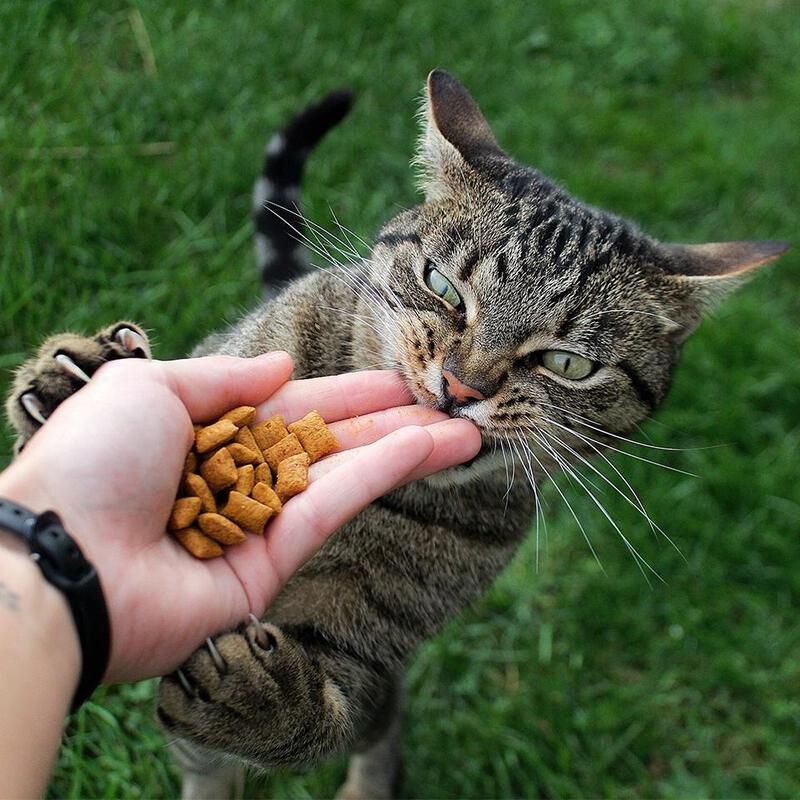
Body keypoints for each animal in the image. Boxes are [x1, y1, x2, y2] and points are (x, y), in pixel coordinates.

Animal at [6, 71, 788, 800]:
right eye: (442, 287)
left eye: (568, 363)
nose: (463, 387)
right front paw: (81, 378)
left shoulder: (369, 646)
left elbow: (322, 715)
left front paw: (259, 699)